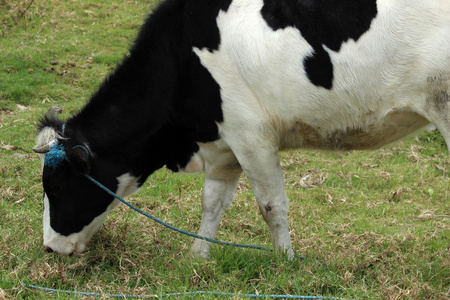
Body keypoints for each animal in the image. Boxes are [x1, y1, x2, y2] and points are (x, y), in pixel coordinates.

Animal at [35, 0, 450, 258]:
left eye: (56, 186)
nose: (50, 247)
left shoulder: (252, 136)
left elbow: (271, 205)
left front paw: (286, 261)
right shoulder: (223, 146)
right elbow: (212, 202)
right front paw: (198, 256)